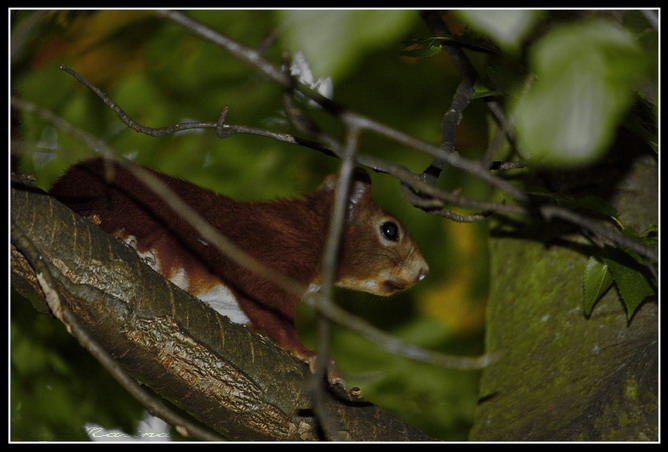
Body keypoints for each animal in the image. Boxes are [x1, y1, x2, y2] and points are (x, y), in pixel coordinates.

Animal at [49, 159, 430, 384]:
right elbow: (269, 308)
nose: (424, 272)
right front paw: (309, 354)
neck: (313, 232)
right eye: (390, 230)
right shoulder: (268, 255)